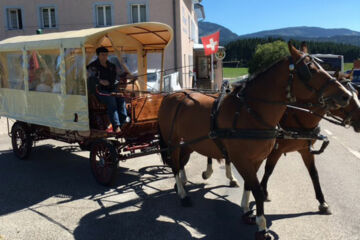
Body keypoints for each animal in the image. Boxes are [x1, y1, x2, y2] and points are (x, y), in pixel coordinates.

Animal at [158, 43, 352, 240]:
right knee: (175, 165)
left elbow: (250, 185)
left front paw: (246, 211)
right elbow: (257, 189)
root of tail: (170, 96)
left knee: (181, 162)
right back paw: (183, 194)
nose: (346, 96)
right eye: (310, 70)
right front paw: (262, 226)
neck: (250, 113)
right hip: (172, 142)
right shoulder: (242, 159)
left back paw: (183, 184)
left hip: (189, 142)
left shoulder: (257, 159)